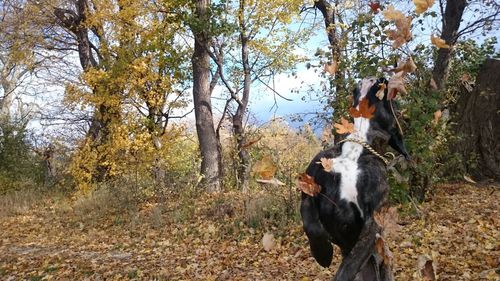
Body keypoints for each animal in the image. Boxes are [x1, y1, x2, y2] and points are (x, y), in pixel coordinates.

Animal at [300, 76, 410, 278]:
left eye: (393, 102)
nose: (381, 76)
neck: (355, 147)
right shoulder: (308, 190)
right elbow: (311, 226)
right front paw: (322, 254)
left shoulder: (372, 222)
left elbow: (350, 264)